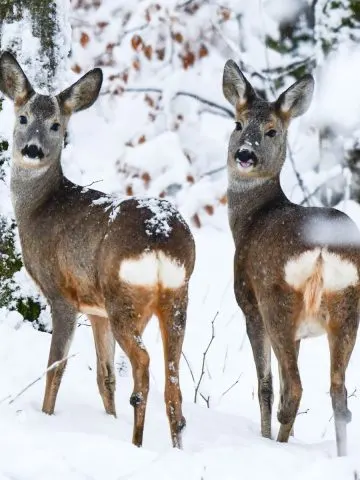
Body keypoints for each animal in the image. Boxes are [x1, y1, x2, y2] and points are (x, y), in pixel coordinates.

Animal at [0, 52, 195, 450]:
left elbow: (56, 366)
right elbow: (105, 376)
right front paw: (109, 420)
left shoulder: (62, 293)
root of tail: (160, 236)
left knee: (144, 364)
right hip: (176, 297)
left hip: (124, 298)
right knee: (173, 381)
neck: (39, 207)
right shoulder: (96, 309)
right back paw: (175, 446)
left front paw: (46, 417)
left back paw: (136, 442)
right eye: (23, 118)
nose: (32, 150)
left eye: (56, 125)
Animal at [222, 58, 360, 456]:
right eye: (238, 124)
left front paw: (267, 437)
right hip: (347, 309)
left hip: (276, 299)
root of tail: (322, 249)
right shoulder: (301, 332)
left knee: (295, 390)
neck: (250, 219)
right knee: (338, 393)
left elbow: (267, 386)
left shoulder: (248, 304)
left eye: (271, 131)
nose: (245, 155)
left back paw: (279, 444)